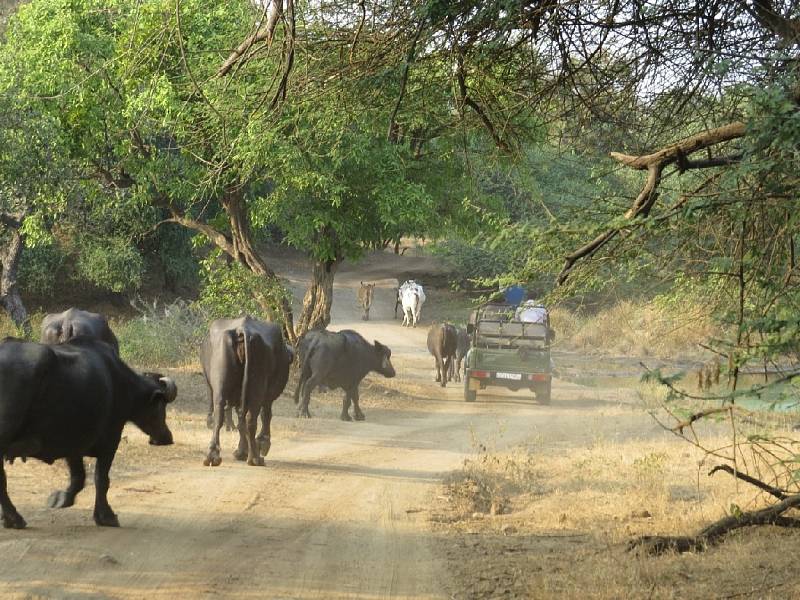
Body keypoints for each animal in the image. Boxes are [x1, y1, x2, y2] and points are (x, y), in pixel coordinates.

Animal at [0, 338, 175, 528]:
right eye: (160, 406)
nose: (167, 437)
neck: (120, 382)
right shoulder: (111, 439)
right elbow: (101, 479)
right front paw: (105, 515)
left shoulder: (72, 442)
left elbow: (78, 477)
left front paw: (62, 498)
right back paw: (14, 518)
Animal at [200, 316, 294, 466]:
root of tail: (241, 330)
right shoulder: (268, 396)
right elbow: (265, 415)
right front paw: (262, 443)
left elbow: (240, 419)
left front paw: (241, 451)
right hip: (257, 387)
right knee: (251, 419)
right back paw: (255, 458)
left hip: (220, 384)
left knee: (219, 415)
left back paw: (212, 455)